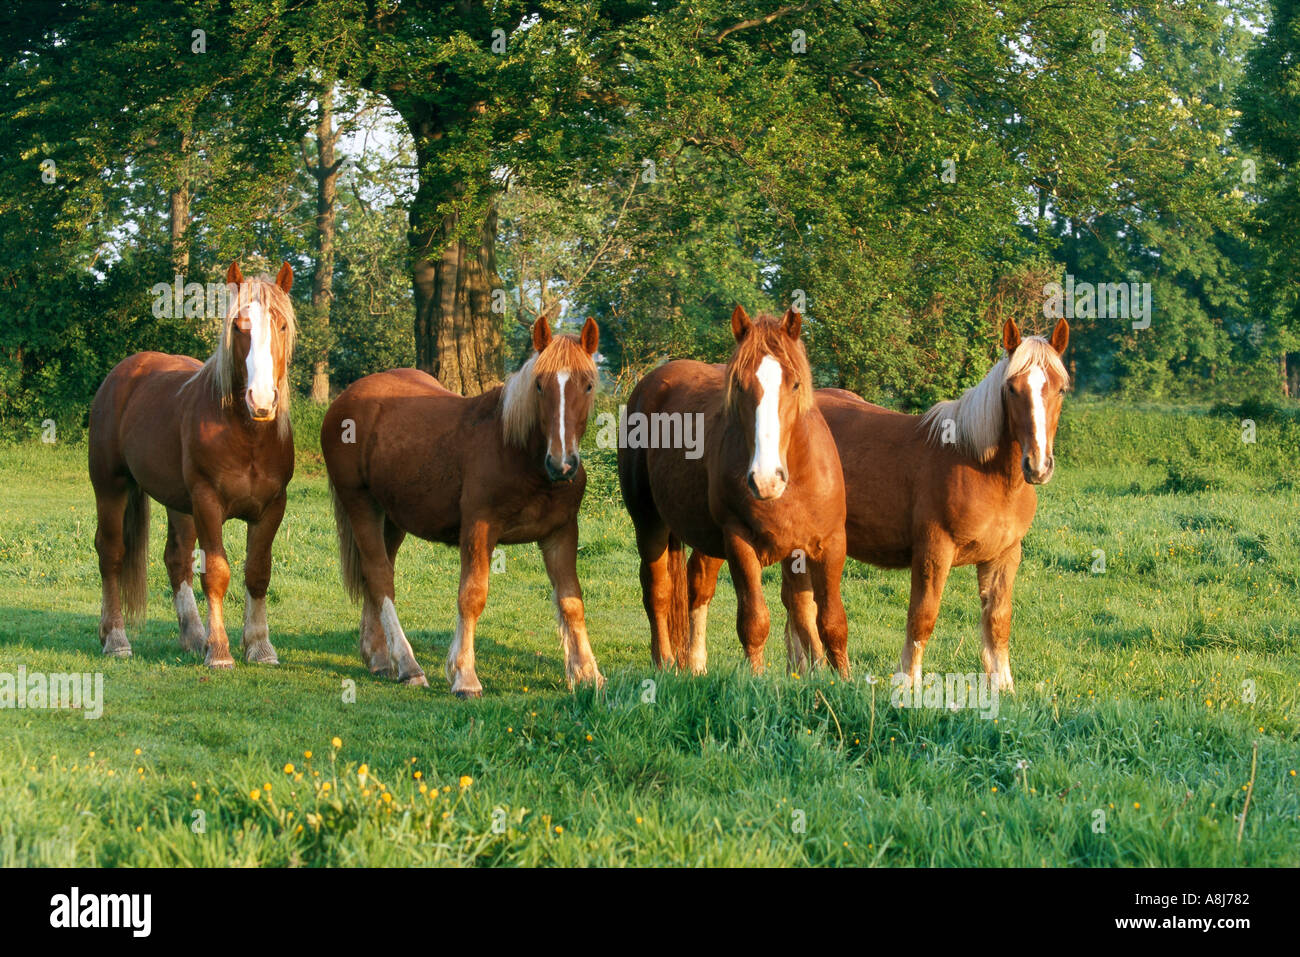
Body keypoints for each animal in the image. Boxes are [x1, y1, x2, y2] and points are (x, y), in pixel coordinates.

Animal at [89, 260, 297, 665]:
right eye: (239, 326)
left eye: (281, 325)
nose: (262, 400)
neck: (247, 435)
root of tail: (121, 375)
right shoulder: (207, 501)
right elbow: (216, 572)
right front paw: (220, 652)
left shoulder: (271, 507)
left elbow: (257, 572)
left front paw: (260, 646)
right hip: (111, 487)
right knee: (111, 553)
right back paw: (116, 638)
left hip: (178, 503)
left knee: (177, 559)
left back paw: (193, 635)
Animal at [325, 314, 608, 696]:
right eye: (539, 385)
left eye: (588, 386)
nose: (561, 465)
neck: (518, 454)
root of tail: (345, 399)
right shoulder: (478, 528)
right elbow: (472, 597)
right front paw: (464, 675)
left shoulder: (560, 534)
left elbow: (571, 602)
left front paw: (588, 673)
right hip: (360, 503)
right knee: (380, 576)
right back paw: (409, 665)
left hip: (392, 517)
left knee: (378, 574)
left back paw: (380, 659)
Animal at [618, 304, 852, 670]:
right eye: (739, 385)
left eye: (795, 384)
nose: (766, 479)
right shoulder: (740, 543)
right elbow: (755, 622)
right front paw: (755, 679)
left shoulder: (828, 545)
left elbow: (829, 622)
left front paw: (840, 678)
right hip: (649, 522)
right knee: (657, 590)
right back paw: (665, 663)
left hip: (706, 538)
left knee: (697, 585)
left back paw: (696, 666)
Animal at [774, 317, 1071, 691]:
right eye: (1012, 388)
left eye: (1060, 389)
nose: (1038, 465)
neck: (981, 467)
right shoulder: (934, 550)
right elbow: (922, 617)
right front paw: (908, 684)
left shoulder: (1004, 555)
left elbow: (998, 620)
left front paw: (1003, 687)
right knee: (801, 607)